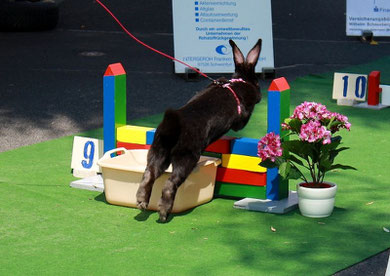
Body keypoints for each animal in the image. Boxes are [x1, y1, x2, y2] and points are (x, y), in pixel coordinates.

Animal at [136, 38, 262, 221]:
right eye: (257, 83)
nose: (260, 94)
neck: (240, 82)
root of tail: (173, 124)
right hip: (187, 157)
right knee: (170, 184)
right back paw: (164, 212)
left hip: (158, 152)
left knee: (149, 174)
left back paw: (142, 201)